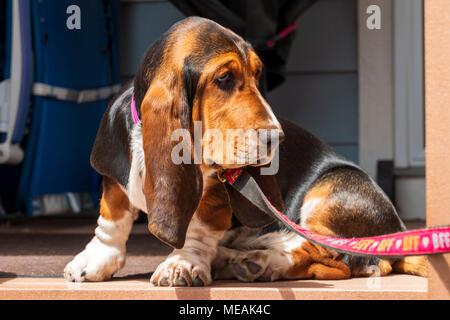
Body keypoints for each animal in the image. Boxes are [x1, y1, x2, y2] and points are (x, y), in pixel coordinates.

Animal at [63, 16, 426, 284]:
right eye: (224, 77)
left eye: (258, 74)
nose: (276, 138)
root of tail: (398, 230)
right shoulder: (114, 177)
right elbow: (113, 217)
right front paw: (94, 260)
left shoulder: (216, 193)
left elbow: (198, 227)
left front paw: (183, 264)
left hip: (327, 194)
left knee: (330, 255)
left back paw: (263, 261)